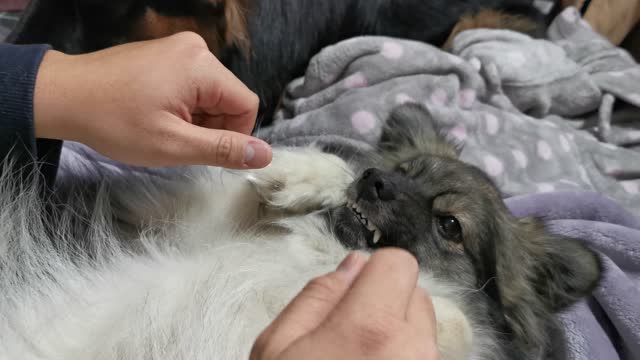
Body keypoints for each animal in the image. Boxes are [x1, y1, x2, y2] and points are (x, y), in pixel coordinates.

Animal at [0, 104, 600, 360]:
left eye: (449, 225)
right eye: (404, 173)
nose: (376, 180)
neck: (326, 255)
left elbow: (458, 322)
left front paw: (430, 306)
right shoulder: (197, 231)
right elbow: (255, 193)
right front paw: (303, 176)